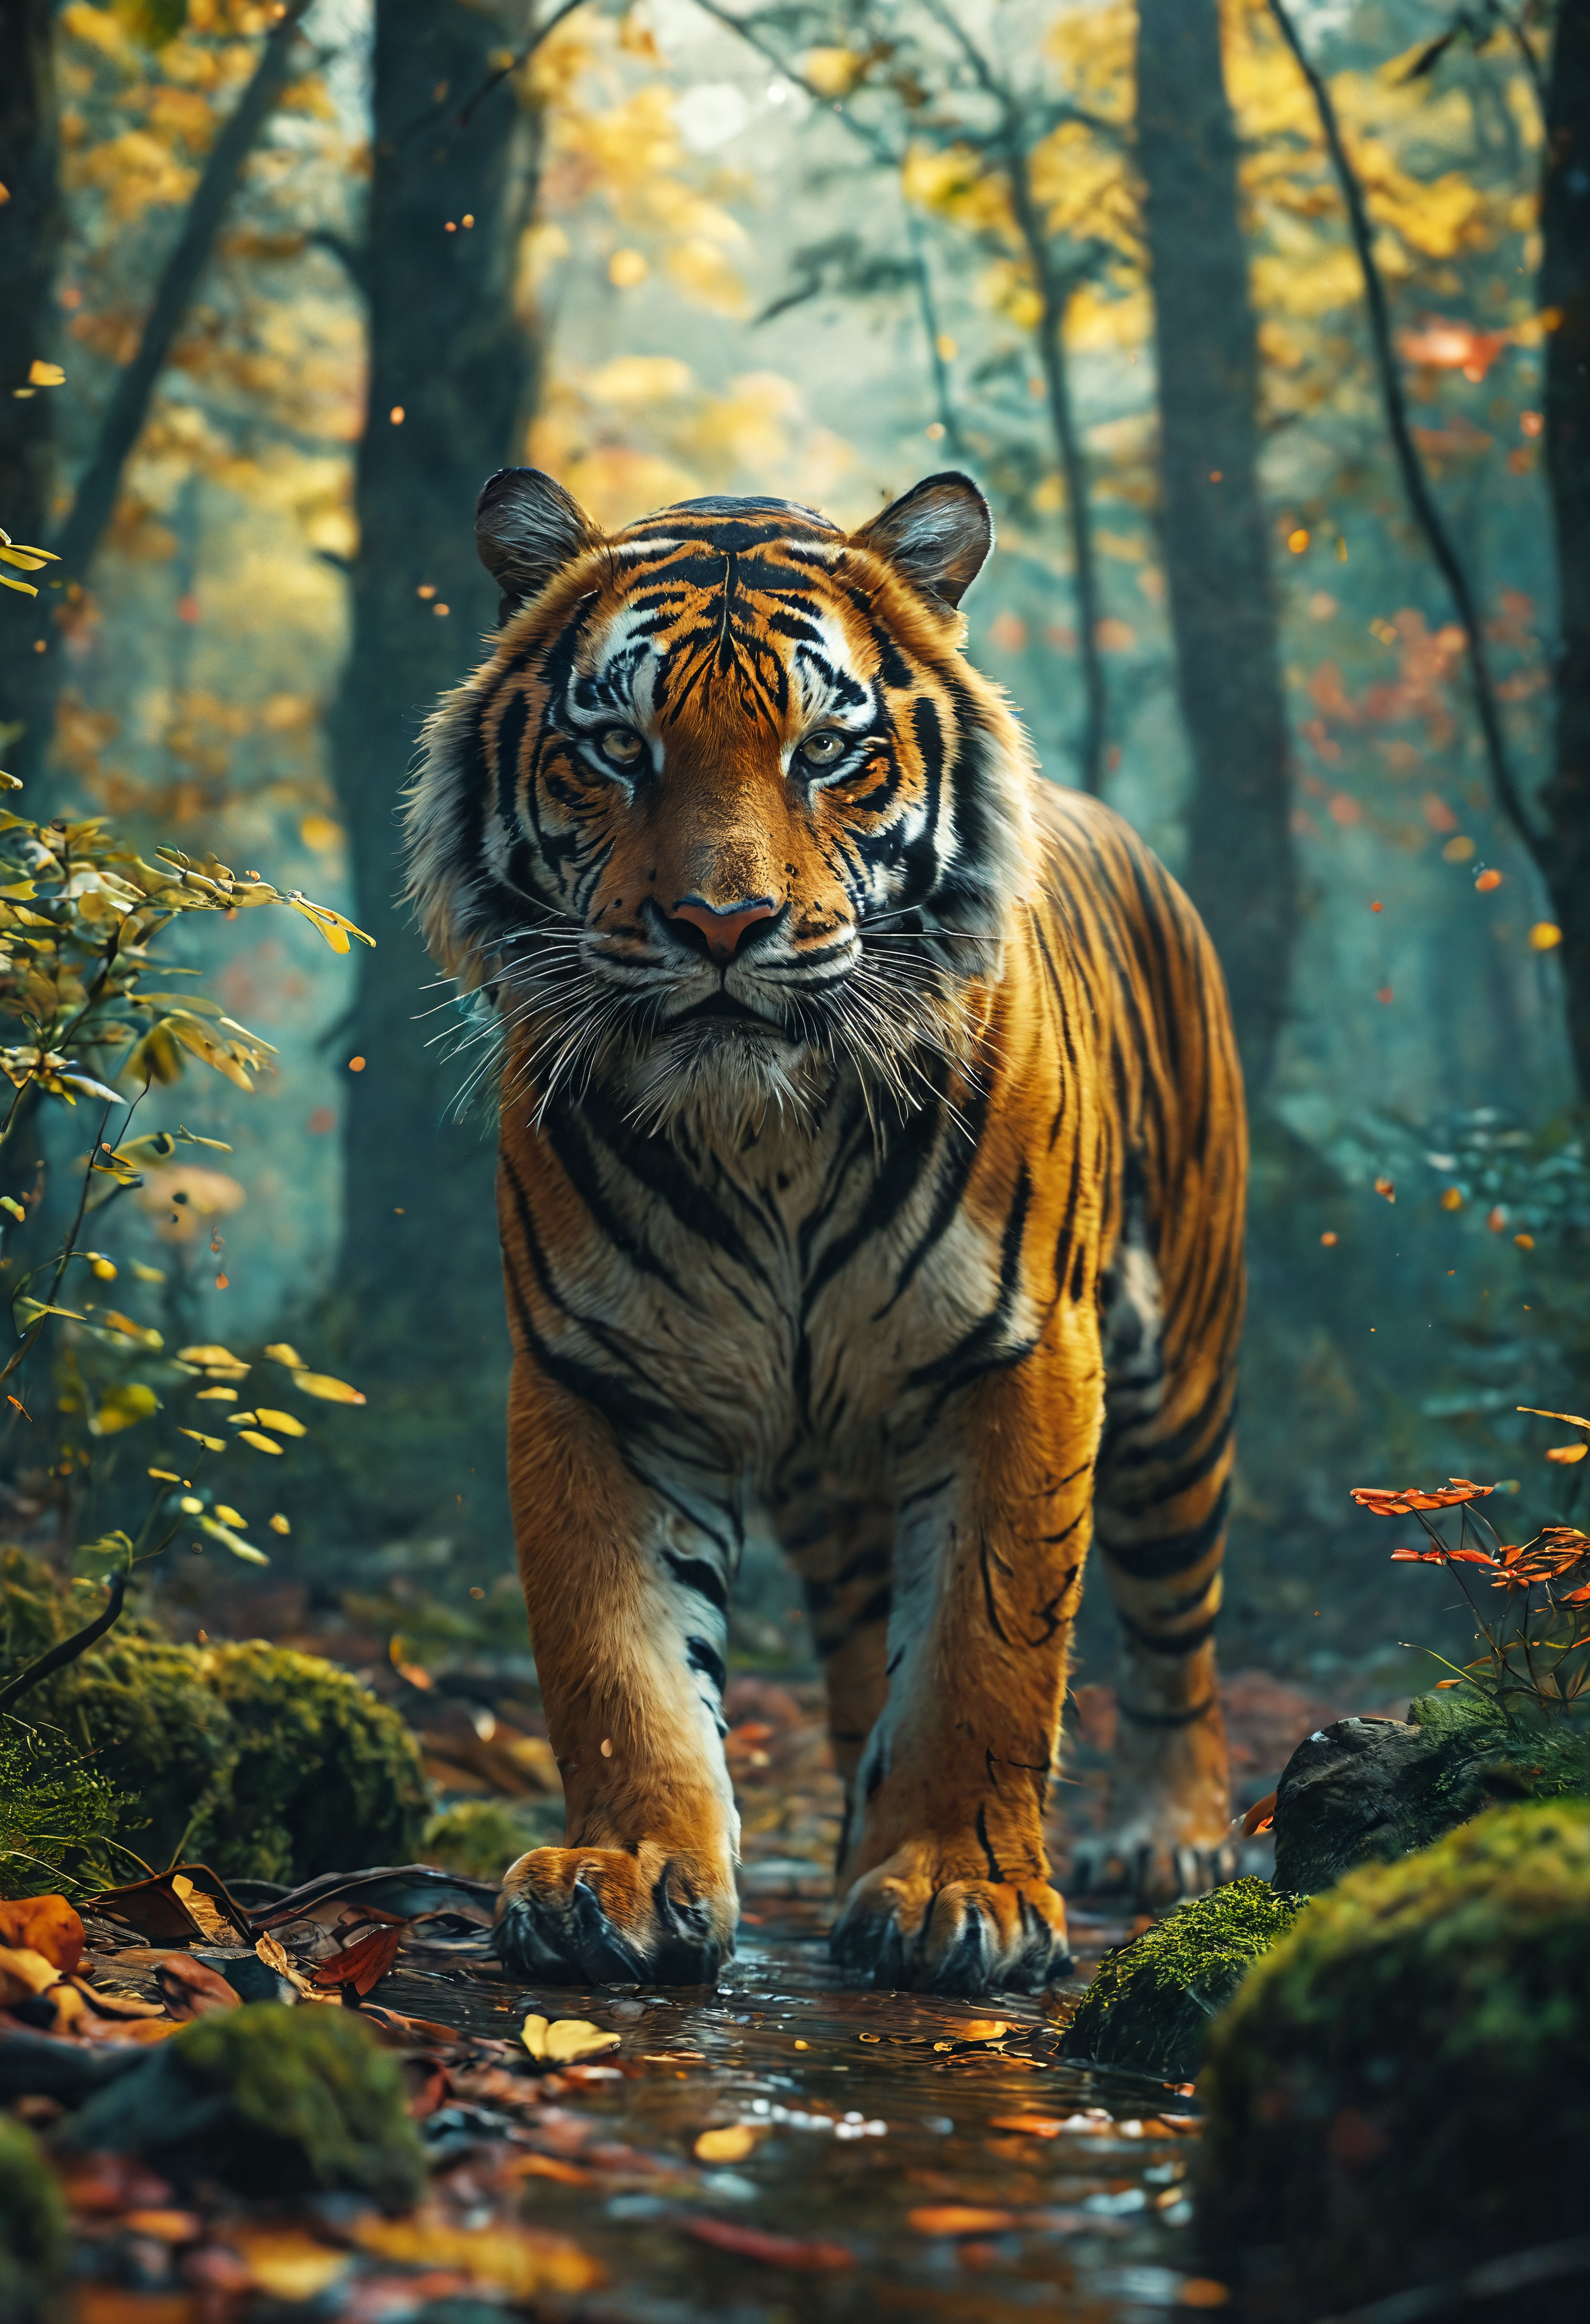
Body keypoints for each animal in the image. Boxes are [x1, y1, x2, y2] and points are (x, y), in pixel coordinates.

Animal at [405, 465, 1246, 1995]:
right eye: (614, 748)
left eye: (827, 751)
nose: (719, 923)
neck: (768, 1134)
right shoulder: (602, 1375)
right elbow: (616, 1658)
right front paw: (624, 1873)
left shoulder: (1020, 1357)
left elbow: (984, 1651)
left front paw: (964, 1894)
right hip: (831, 1472)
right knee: (864, 1651)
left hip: (1181, 1380)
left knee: (1176, 1626)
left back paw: (1168, 1837)